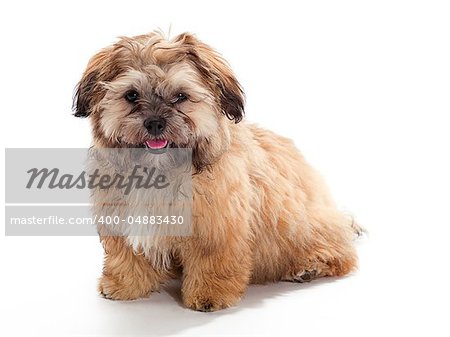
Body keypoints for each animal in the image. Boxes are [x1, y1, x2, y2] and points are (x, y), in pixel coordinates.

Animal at [75, 30, 360, 312]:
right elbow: (127, 255)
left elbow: (212, 260)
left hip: (305, 224)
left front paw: (209, 295)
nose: (155, 123)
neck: (160, 170)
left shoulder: (216, 227)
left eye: (181, 96)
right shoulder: (120, 217)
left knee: (341, 252)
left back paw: (309, 267)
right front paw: (124, 284)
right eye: (132, 95)